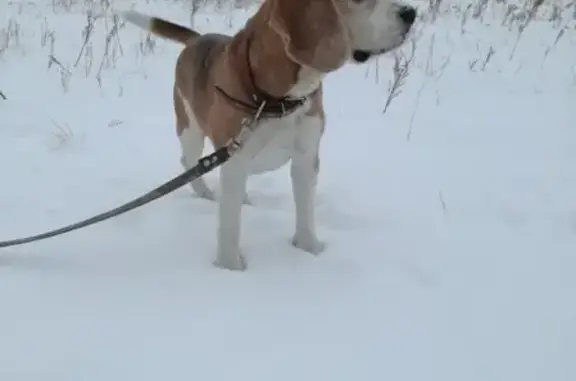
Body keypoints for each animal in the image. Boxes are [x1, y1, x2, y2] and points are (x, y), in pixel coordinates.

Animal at [122, 0, 418, 270]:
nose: (411, 13)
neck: (279, 100)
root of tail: (197, 39)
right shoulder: (235, 161)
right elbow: (230, 225)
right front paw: (230, 268)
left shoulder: (306, 158)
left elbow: (306, 212)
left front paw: (309, 250)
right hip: (190, 128)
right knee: (190, 162)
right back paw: (206, 192)